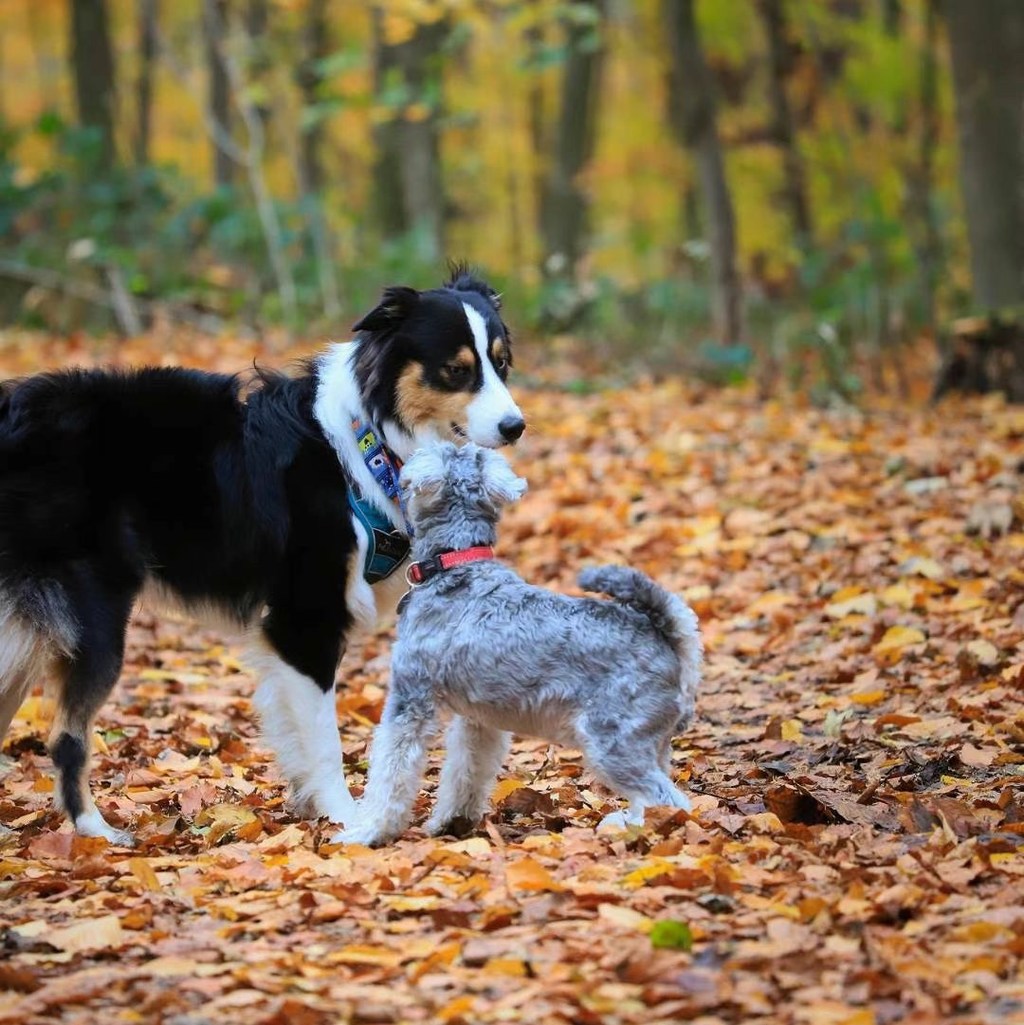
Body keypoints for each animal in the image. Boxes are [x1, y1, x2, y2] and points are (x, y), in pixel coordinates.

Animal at [0, 270, 524, 840]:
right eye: (456, 370)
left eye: (501, 363)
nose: (516, 426)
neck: (367, 444)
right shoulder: (304, 621)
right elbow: (324, 742)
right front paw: (345, 819)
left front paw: (311, 809)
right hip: (93, 616)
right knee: (67, 737)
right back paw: (95, 832)